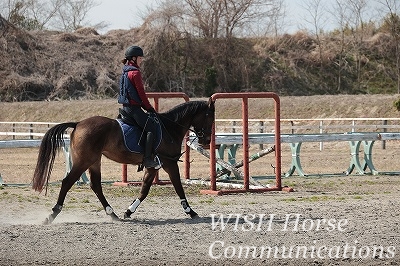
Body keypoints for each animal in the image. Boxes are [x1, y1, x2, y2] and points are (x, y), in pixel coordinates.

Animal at [32, 98, 216, 223]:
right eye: (210, 117)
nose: (206, 140)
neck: (169, 128)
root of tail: (78, 123)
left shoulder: (153, 167)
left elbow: (144, 190)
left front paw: (128, 211)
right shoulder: (169, 164)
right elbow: (178, 188)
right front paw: (191, 212)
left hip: (94, 161)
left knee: (96, 186)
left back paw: (112, 214)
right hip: (84, 161)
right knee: (67, 182)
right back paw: (53, 214)